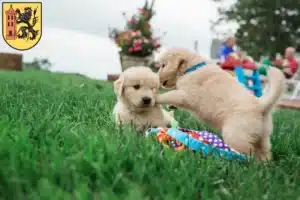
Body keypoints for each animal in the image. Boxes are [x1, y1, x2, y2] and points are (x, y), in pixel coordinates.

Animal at [156, 48, 284, 161]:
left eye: (163, 65)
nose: (157, 78)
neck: (192, 68)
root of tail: (261, 105)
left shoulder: (185, 95)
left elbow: (169, 94)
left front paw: (155, 98)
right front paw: (171, 106)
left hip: (234, 134)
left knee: (246, 153)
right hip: (263, 138)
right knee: (264, 152)